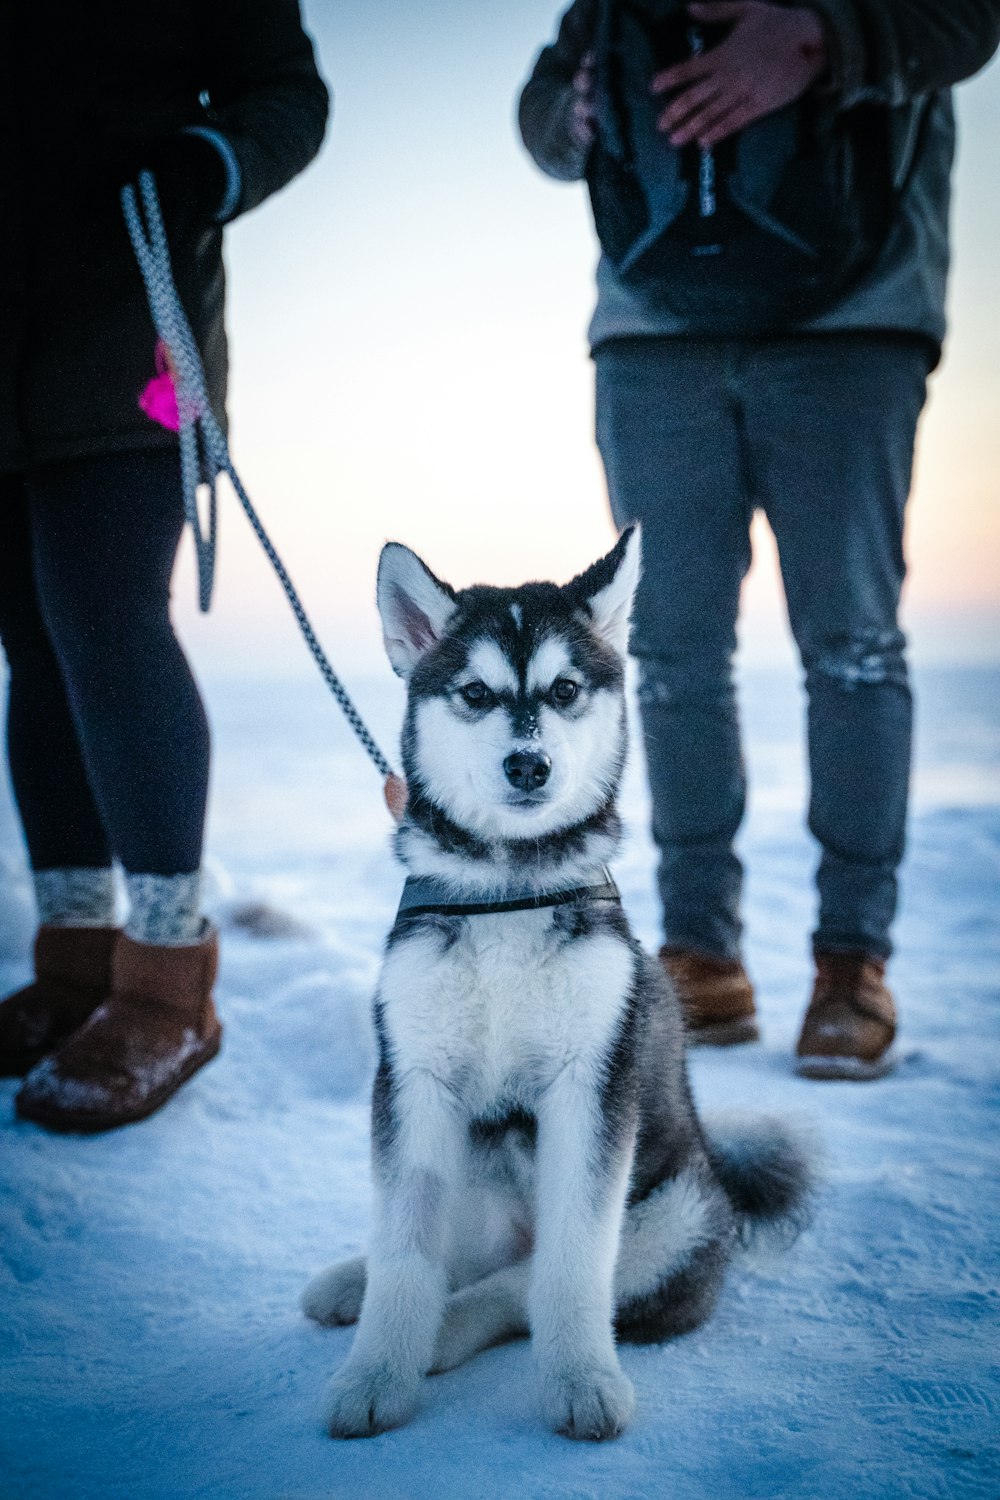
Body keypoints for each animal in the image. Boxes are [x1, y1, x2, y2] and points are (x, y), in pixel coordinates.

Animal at [305, 531, 815, 1440]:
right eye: (475, 693)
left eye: (566, 690)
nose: (529, 763)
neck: (509, 888)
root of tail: (719, 1171)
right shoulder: (414, 1082)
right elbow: (405, 1251)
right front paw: (374, 1374)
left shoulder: (593, 1087)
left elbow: (572, 1266)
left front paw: (580, 1380)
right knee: (455, 1256)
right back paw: (352, 1282)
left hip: (677, 1217)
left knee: (520, 1284)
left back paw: (452, 1329)